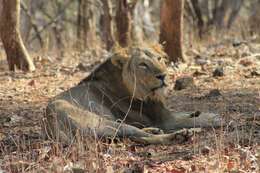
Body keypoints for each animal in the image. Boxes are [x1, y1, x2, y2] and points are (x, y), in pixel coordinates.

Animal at [43, 46, 221, 145]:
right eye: (142, 65)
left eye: (159, 58)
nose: (163, 76)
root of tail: (50, 123)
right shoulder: (164, 120)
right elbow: (189, 120)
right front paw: (212, 118)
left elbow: (183, 113)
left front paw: (197, 112)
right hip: (104, 123)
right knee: (141, 136)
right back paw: (181, 135)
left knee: (138, 136)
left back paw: (155, 131)